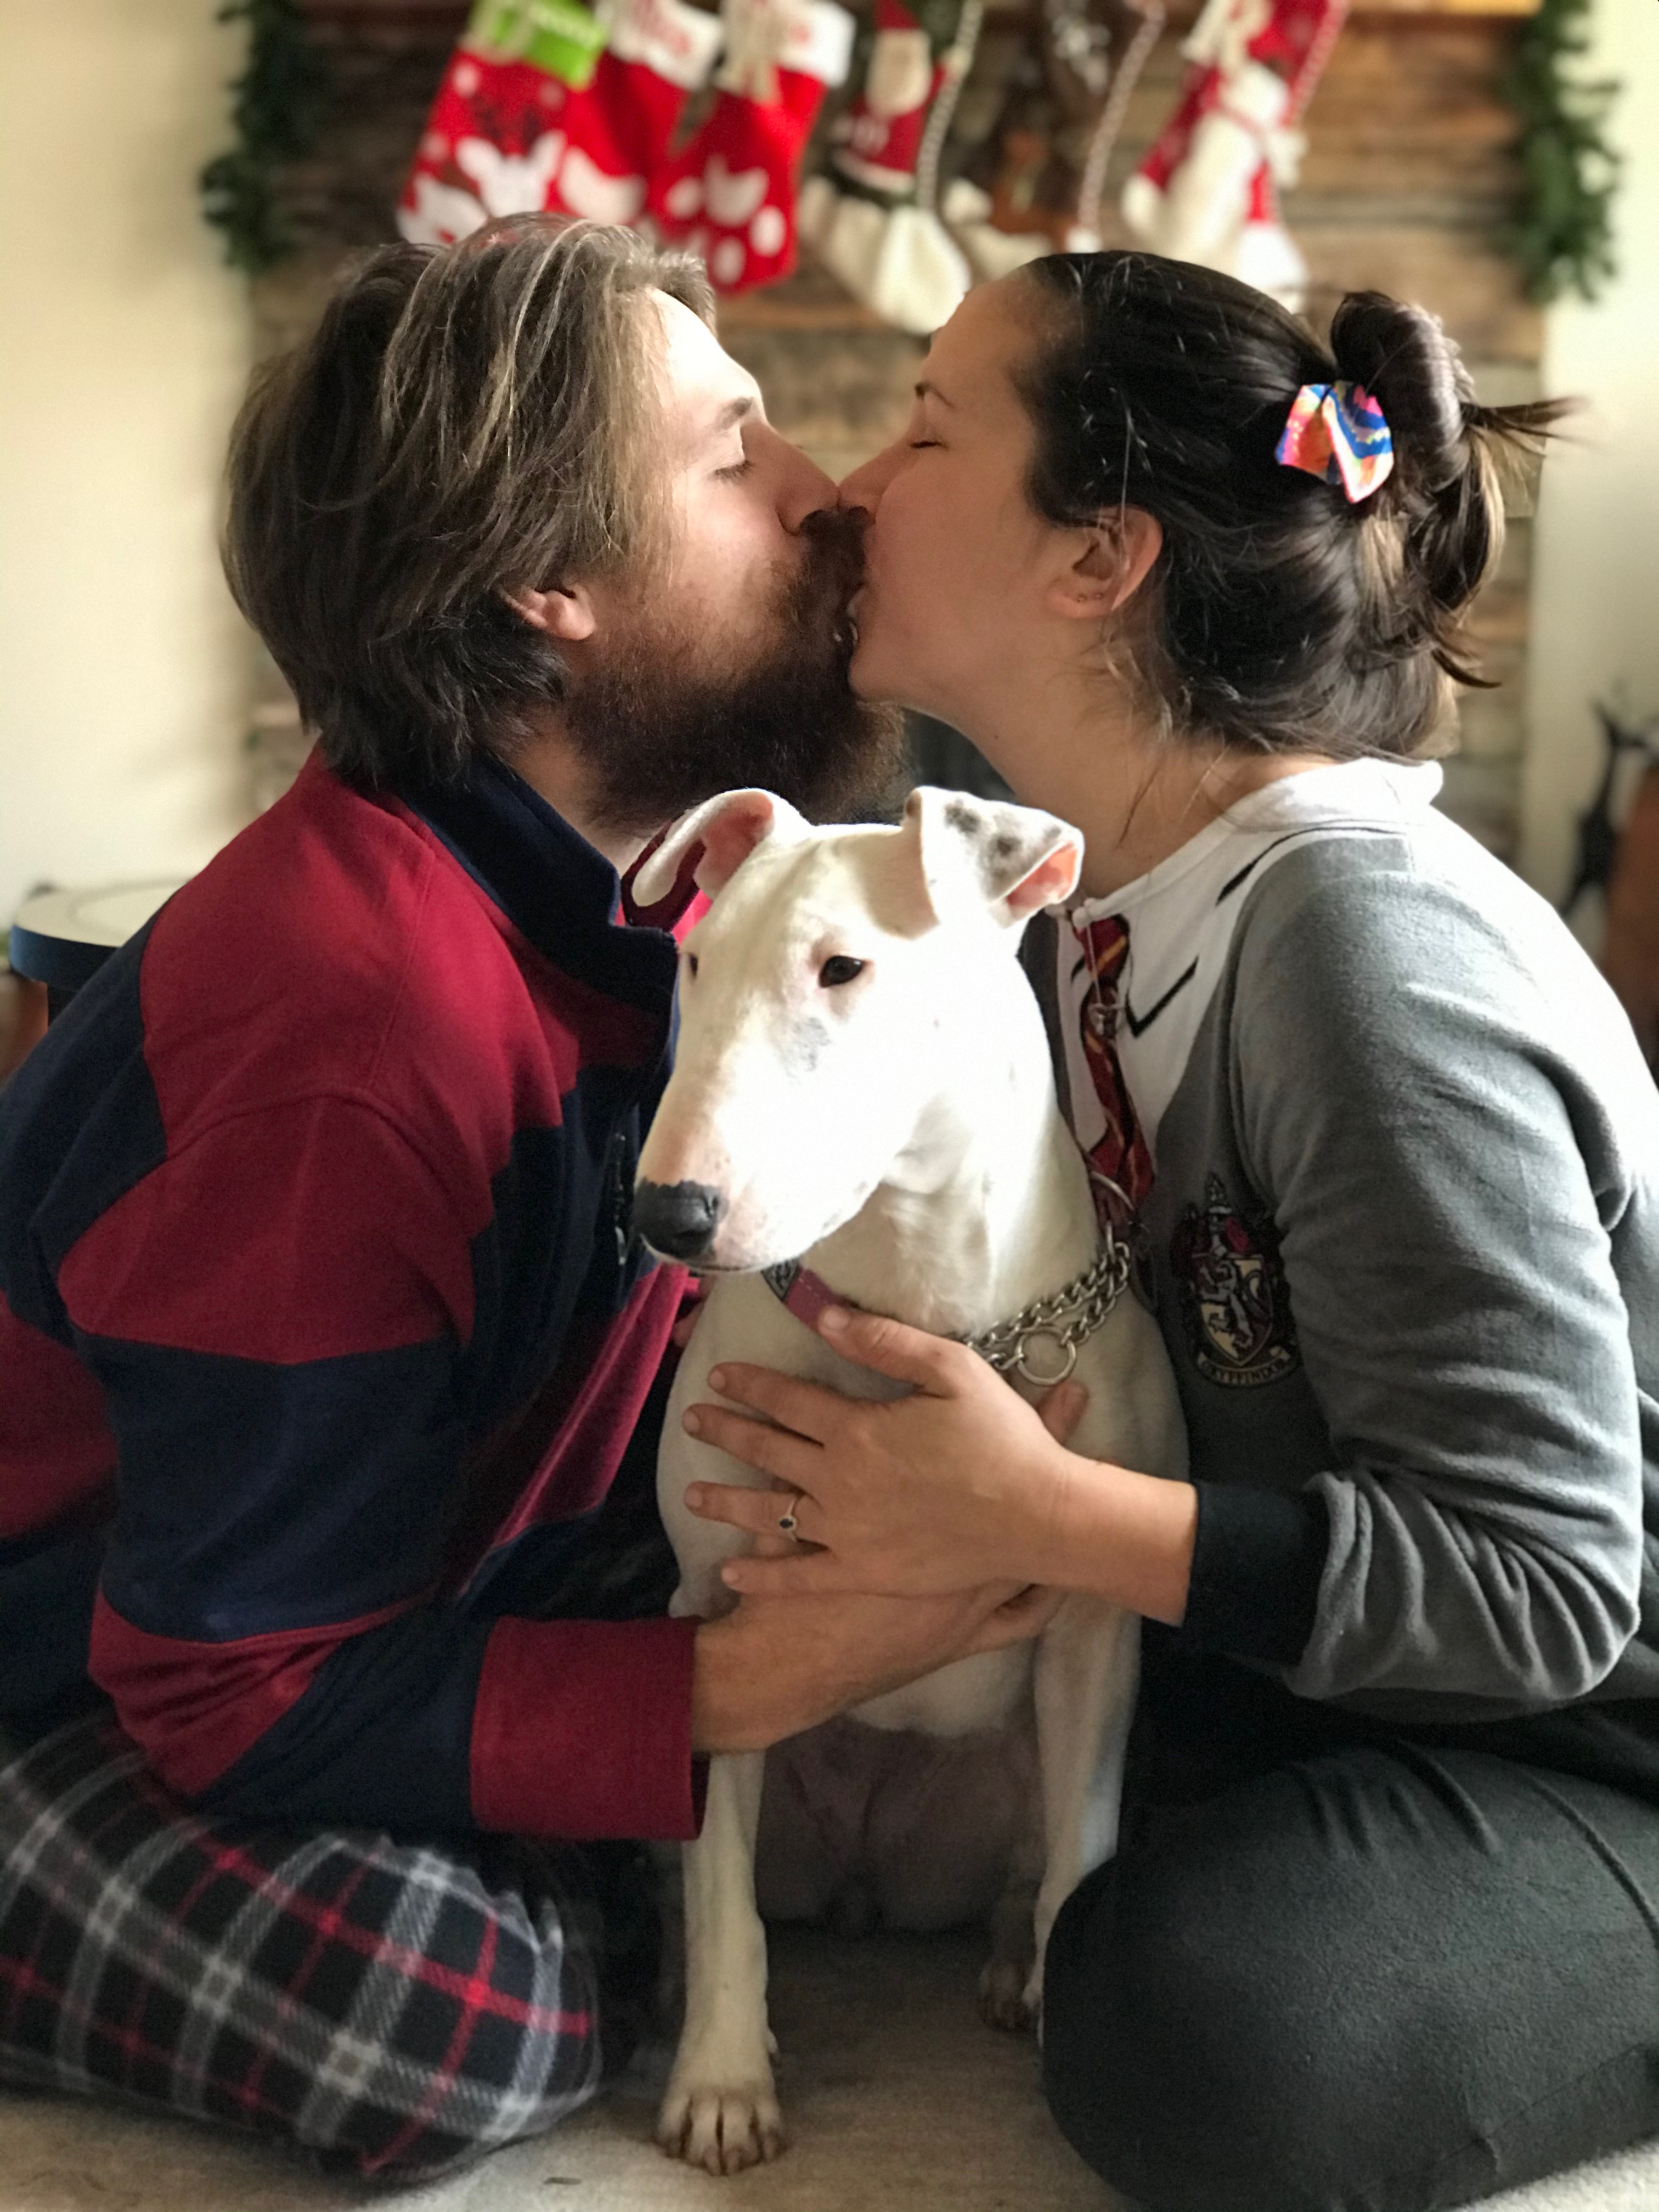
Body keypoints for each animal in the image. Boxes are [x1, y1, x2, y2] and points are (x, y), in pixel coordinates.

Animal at [630, 785, 1188, 2173]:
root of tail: (867, 1882)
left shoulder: (1093, 1631)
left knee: (1030, 1864)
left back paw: (1007, 1973)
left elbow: (1082, 1856)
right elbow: (722, 1895)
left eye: (842, 968)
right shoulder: (719, 1623)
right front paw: (721, 2085)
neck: (920, 1312)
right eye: (696, 962)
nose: (666, 1216)